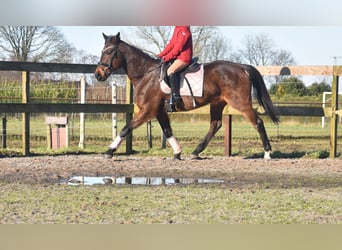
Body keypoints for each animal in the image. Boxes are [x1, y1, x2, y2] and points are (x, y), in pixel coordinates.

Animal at [95, 32, 280, 159]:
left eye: (110, 52)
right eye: (103, 50)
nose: (98, 74)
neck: (146, 74)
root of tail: (241, 67)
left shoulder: (148, 110)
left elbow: (126, 128)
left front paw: (109, 150)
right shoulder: (159, 111)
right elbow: (168, 131)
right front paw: (177, 152)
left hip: (240, 103)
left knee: (257, 122)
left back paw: (267, 152)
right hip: (217, 103)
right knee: (215, 125)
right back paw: (196, 151)